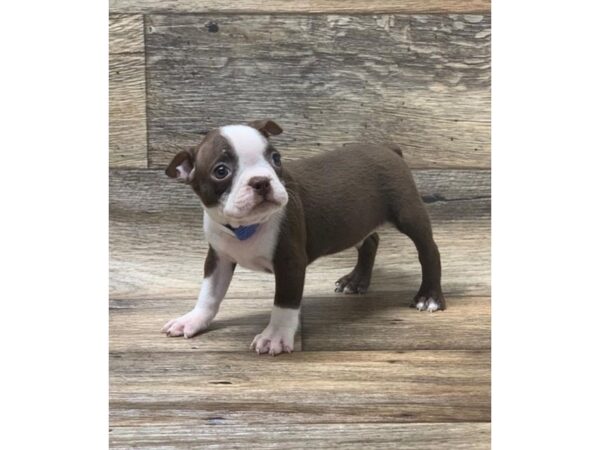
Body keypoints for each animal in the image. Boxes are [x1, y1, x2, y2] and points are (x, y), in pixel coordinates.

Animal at [162, 119, 442, 356]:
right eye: (221, 171)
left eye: (276, 158)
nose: (261, 181)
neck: (244, 226)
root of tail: (389, 149)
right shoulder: (218, 258)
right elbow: (209, 294)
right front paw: (193, 320)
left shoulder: (290, 262)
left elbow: (284, 303)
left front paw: (274, 336)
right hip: (357, 221)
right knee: (370, 242)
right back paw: (355, 281)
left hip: (407, 212)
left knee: (429, 251)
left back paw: (429, 297)